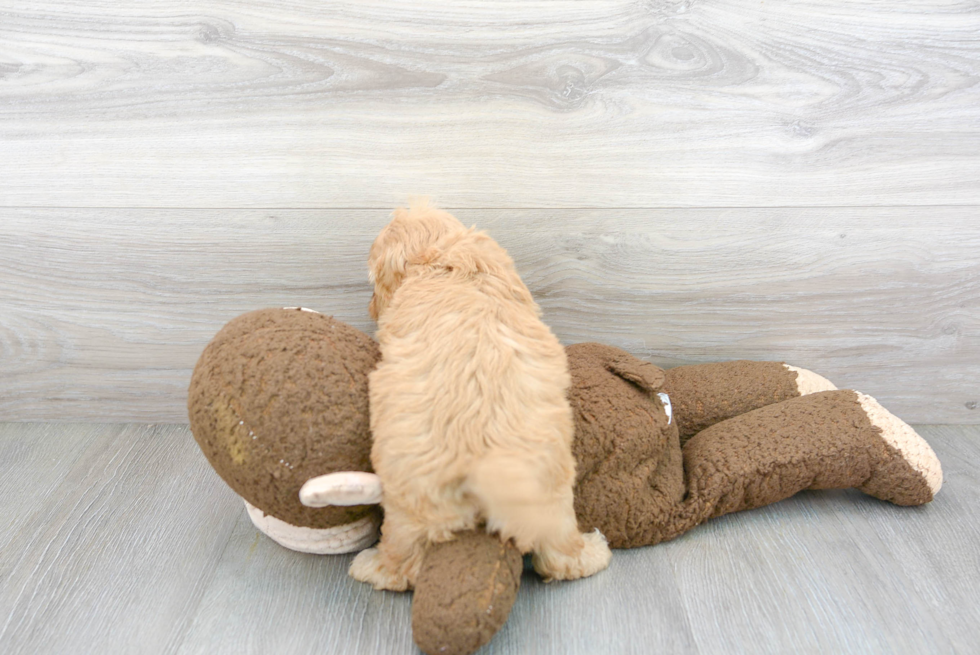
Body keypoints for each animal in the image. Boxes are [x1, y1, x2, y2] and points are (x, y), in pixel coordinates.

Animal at [352, 204, 608, 588]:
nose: (369, 305)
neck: (443, 254)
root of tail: (486, 462)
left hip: (408, 496)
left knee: (402, 561)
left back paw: (370, 566)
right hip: (552, 490)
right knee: (560, 553)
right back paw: (592, 554)